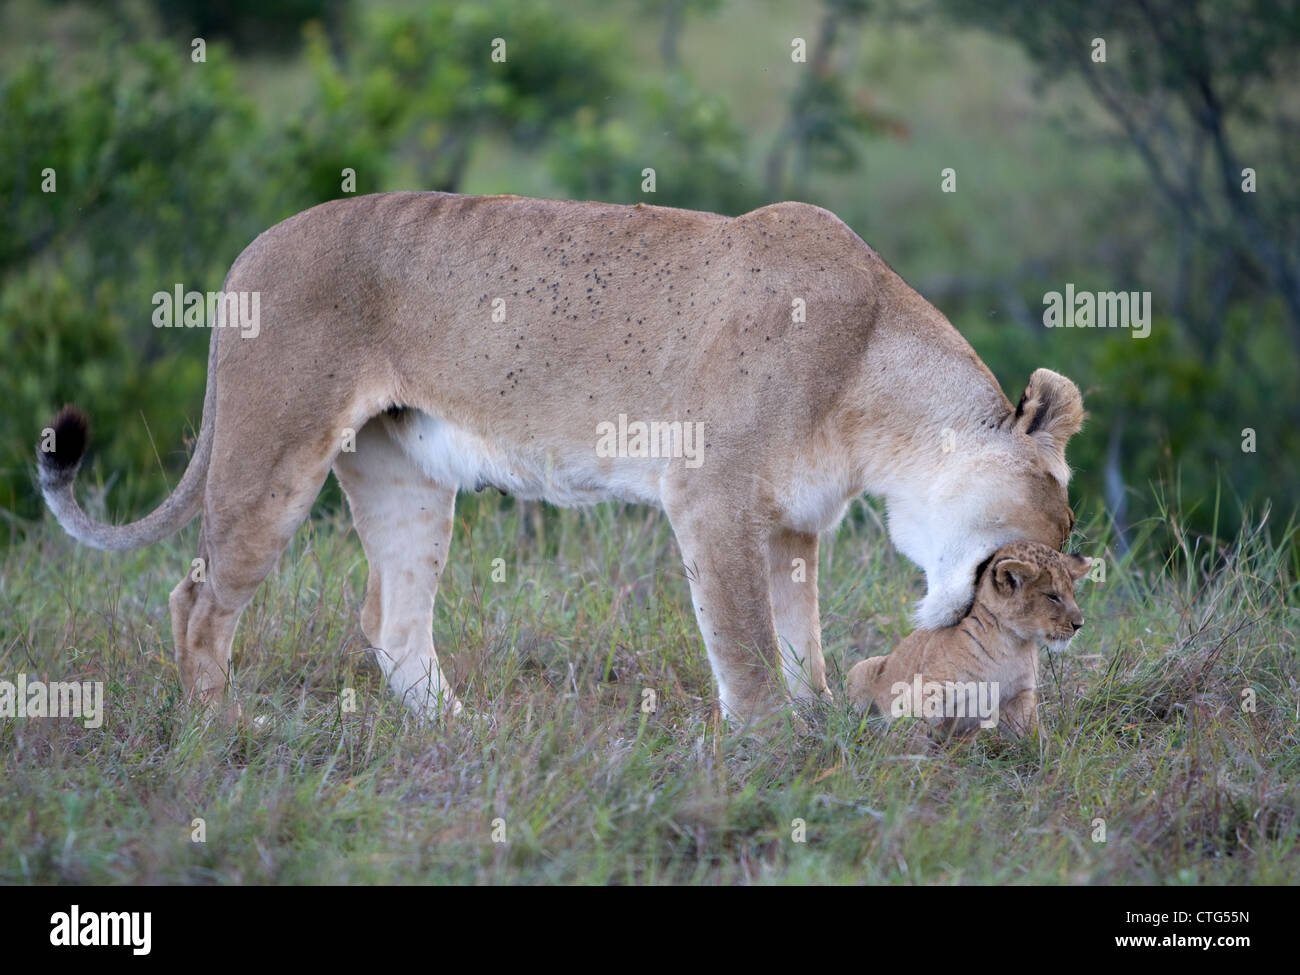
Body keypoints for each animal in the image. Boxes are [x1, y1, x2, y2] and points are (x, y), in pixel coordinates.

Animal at [846, 541, 1090, 737]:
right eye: (1052, 596)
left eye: (1072, 595)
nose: (1079, 624)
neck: (1013, 644)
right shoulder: (930, 688)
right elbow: (912, 730)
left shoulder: (1018, 697)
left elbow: (1034, 738)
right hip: (862, 668)